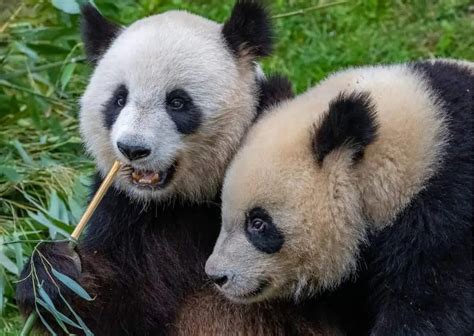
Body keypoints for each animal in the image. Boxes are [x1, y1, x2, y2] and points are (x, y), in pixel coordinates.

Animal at [14, 1, 342, 334]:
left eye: (177, 102)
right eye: (119, 99)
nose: (132, 148)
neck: (184, 199)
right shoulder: (125, 212)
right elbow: (114, 312)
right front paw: (52, 272)